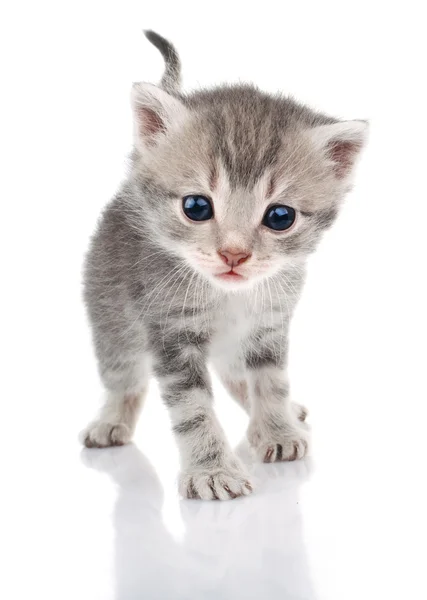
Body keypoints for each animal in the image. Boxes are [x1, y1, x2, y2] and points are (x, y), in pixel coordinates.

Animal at [82, 31, 370, 502]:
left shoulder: (270, 325)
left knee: (235, 372)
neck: (227, 297)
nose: (234, 254)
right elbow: (193, 408)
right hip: (112, 324)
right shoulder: (170, 333)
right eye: (197, 207)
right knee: (123, 378)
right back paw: (112, 420)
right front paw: (212, 469)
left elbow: (270, 381)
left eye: (280, 217)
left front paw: (276, 428)